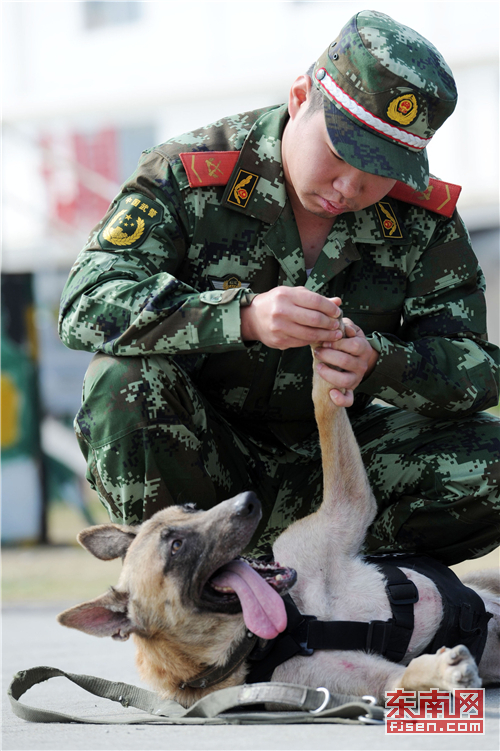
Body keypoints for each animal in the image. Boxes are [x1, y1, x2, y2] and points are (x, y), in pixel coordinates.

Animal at [59, 344, 500, 708]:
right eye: (176, 546)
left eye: (191, 507)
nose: (249, 501)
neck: (290, 627)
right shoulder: (347, 507)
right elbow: (406, 678)